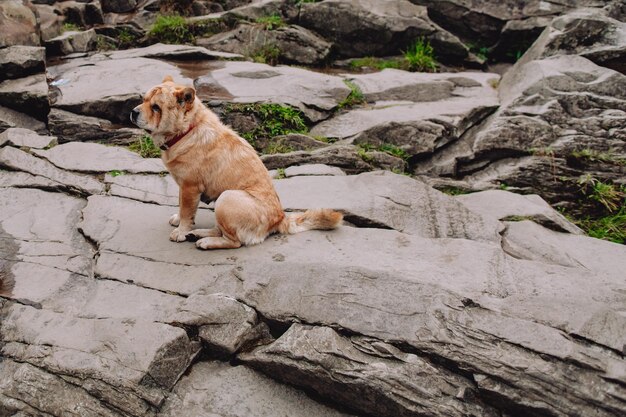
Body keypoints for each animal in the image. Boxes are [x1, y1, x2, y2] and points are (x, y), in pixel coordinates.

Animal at [128, 75, 342, 250]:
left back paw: (204, 241)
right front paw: (180, 222)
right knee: (220, 230)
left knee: (234, 241)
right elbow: (182, 206)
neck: (187, 131)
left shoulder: (190, 186)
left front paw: (181, 231)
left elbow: (187, 211)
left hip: (227, 197)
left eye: (156, 107)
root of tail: (280, 219)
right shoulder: (183, 187)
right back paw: (197, 234)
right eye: (143, 100)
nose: (133, 112)